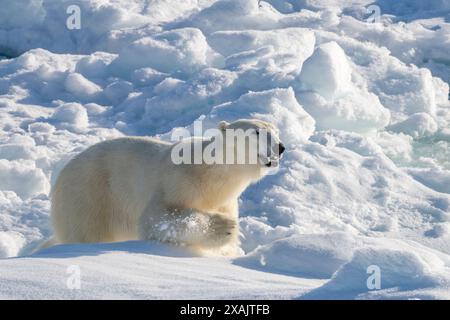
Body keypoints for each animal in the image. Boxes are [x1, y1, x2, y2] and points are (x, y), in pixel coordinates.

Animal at [45, 119, 284, 256]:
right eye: (257, 132)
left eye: (276, 131)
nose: (281, 147)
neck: (210, 176)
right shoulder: (177, 181)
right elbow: (157, 219)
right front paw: (225, 226)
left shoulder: (225, 201)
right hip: (88, 197)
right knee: (87, 231)